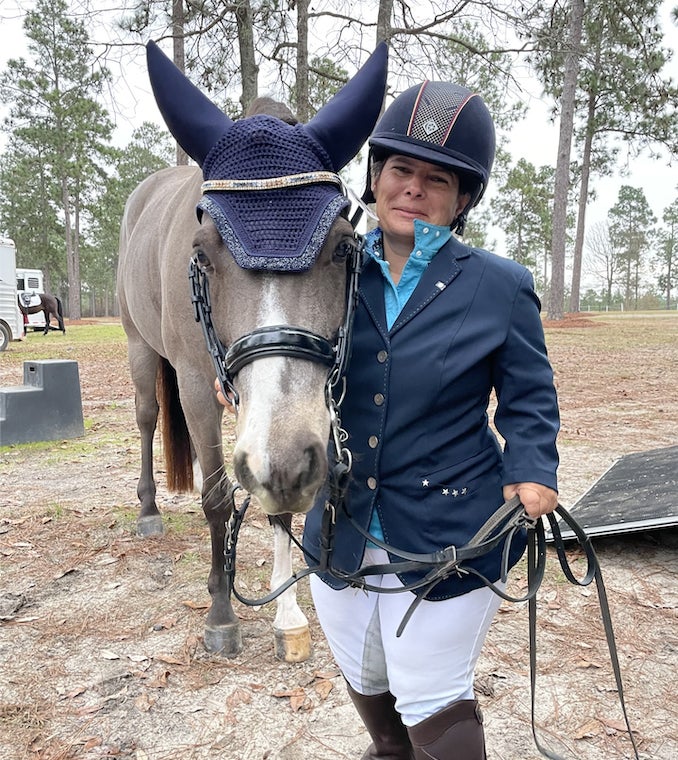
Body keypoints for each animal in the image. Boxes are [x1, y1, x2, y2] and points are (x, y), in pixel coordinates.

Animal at [117, 41, 388, 660]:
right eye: (202, 253)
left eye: (344, 247)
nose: (280, 460)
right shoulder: (198, 387)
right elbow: (219, 500)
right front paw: (221, 611)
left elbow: (280, 504)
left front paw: (288, 614)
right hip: (140, 347)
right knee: (147, 419)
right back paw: (148, 509)